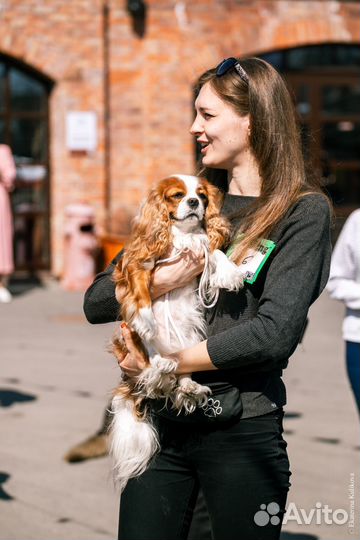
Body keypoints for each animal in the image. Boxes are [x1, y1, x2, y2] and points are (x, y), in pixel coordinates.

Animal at [109, 175, 245, 492]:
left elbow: (214, 250)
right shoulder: (137, 264)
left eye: (202, 196)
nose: (194, 202)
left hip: (191, 334)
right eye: (177, 196)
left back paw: (186, 385)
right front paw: (145, 316)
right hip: (132, 339)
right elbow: (141, 291)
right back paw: (159, 367)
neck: (182, 235)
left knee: (178, 373)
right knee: (149, 362)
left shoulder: (201, 246)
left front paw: (231, 272)